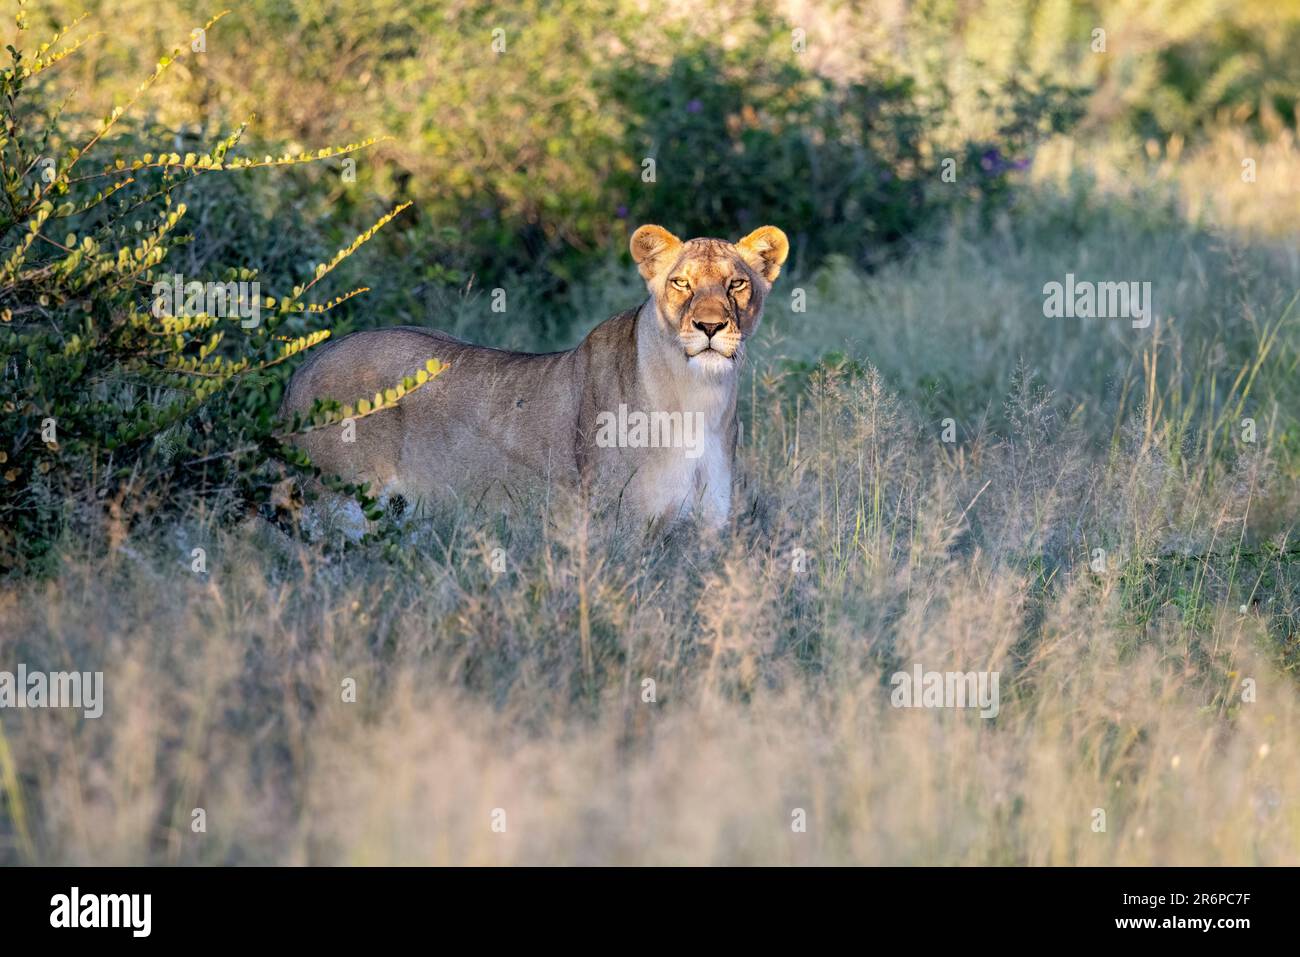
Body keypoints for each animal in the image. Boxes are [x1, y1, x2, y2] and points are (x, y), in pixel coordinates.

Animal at [279, 224, 789, 534]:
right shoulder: (619, 527)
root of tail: (305, 366)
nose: (710, 327)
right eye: (681, 283)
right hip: (338, 508)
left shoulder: (704, 532)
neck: (699, 398)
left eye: (736, 284)